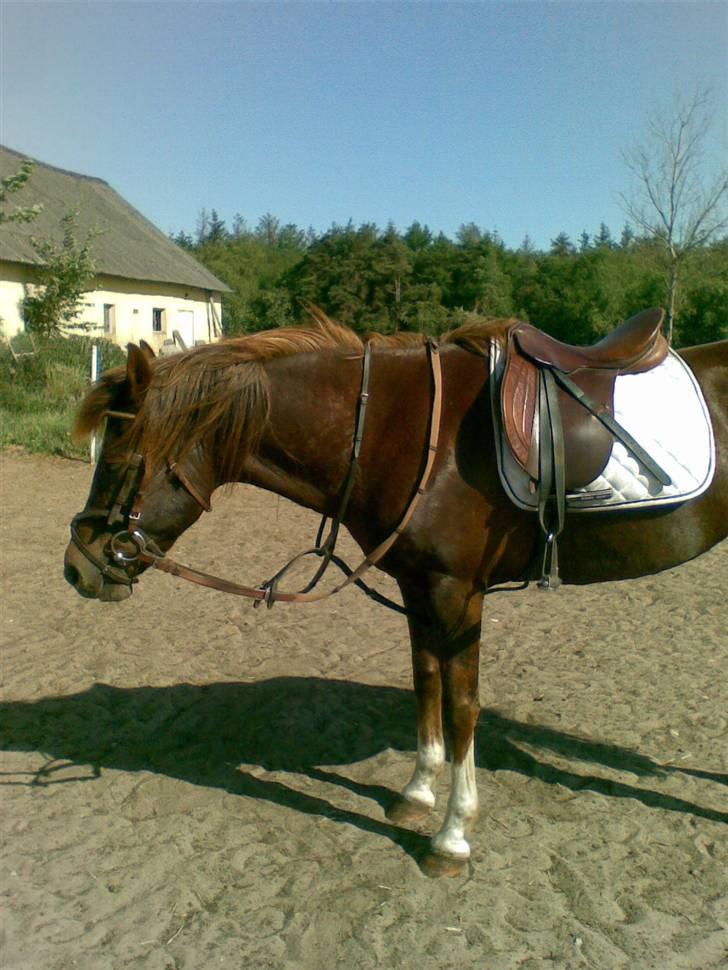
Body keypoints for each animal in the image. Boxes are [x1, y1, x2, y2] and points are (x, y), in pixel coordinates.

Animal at [65, 314, 724, 872]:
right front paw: (417, 793)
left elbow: (461, 707)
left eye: (119, 459)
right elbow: (425, 683)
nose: (77, 567)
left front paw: (453, 837)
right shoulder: (418, 586)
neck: (407, 434)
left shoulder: (457, 593)